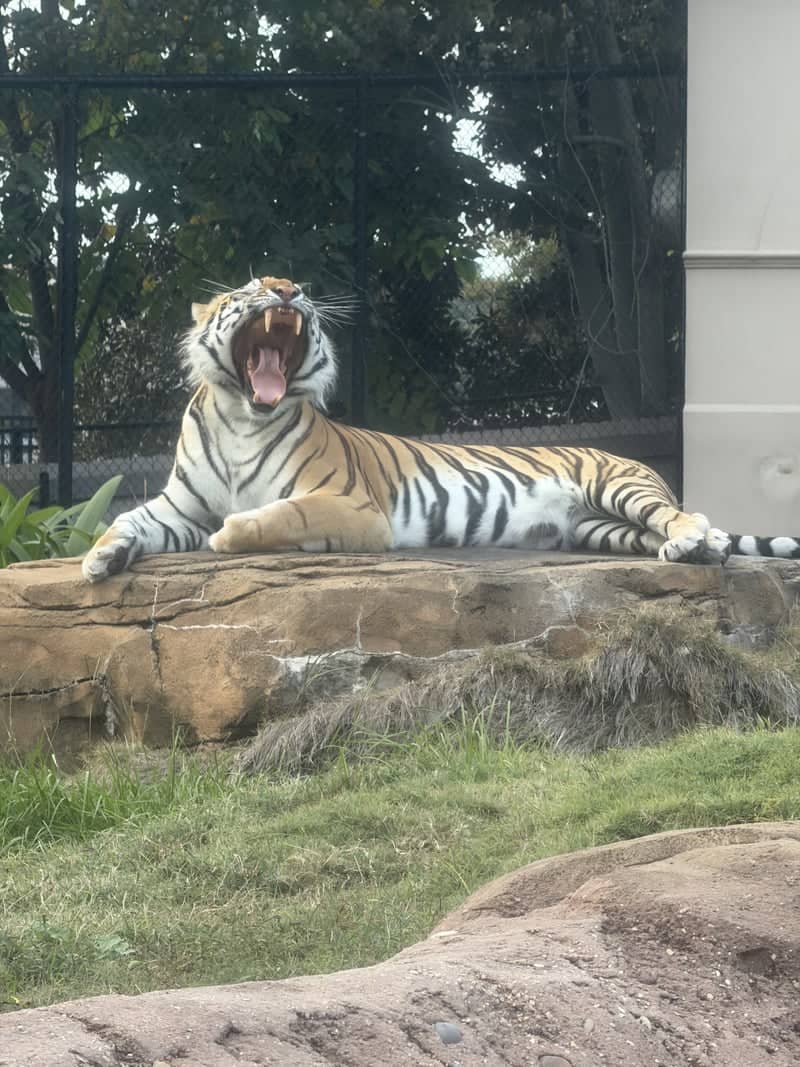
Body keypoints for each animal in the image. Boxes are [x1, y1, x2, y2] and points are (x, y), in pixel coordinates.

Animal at [81, 274, 800, 583]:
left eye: (291, 284)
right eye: (251, 284)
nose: (287, 289)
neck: (241, 416)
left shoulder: (350, 505)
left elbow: (280, 515)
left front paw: (232, 534)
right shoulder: (179, 505)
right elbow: (128, 520)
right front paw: (100, 557)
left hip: (620, 487)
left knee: (689, 514)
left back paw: (695, 542)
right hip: (600, 527)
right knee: (664, 532)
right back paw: (690, 551)